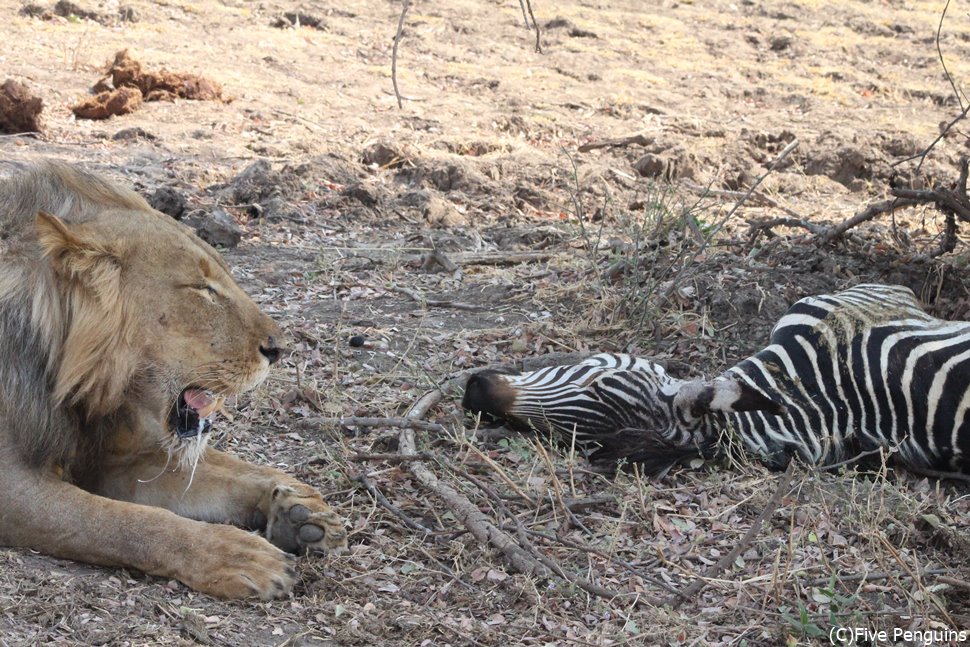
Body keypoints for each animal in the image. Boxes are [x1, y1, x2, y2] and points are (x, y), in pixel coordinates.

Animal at [0, 161, 346, 596]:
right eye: (202, 289)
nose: (280, 348)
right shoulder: (11, 486)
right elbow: (123, 521)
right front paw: (235, 554)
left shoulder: (113, 458)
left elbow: (209, 478)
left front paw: (296, 509)